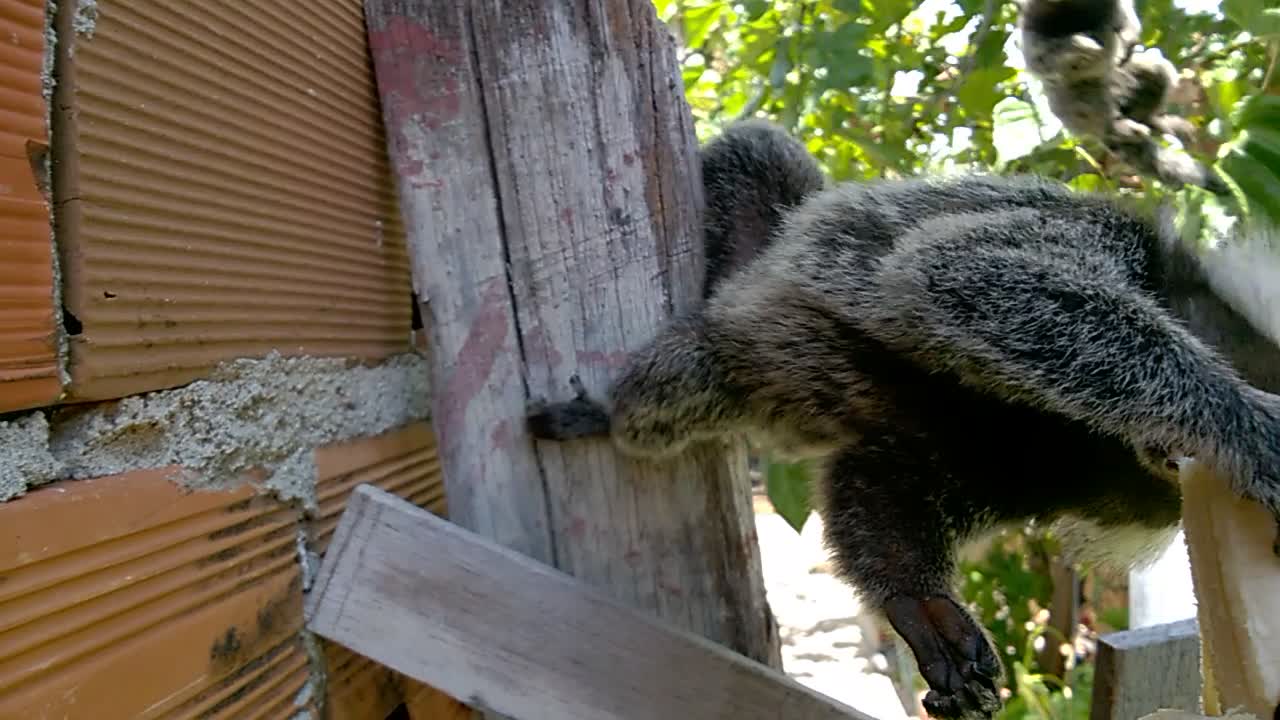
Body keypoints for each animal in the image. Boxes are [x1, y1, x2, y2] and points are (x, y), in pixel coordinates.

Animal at [524, 120, 1280, 712]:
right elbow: (961, 270)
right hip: (743, 286)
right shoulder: (1105, 240)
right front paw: (1243, 427)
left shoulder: (1052, 468)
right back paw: (613, 413)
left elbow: (887, 479)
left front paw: (920, 606)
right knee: (706, 352)